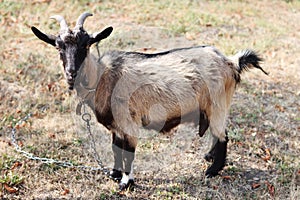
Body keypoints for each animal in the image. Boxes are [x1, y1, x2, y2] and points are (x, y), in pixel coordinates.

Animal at [32, 12, 268, 191]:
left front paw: (126, 183)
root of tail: (231, 62)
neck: (104, 77)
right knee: (216, 133)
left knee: (223, 136)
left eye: (86, 45)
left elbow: (128, 153)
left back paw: (212, 171)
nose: (71, 72)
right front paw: (114, 174)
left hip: (218, 105)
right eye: (58, 47)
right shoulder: (116, 126)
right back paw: (209, 157)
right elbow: (116, 149)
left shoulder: (129, 123)